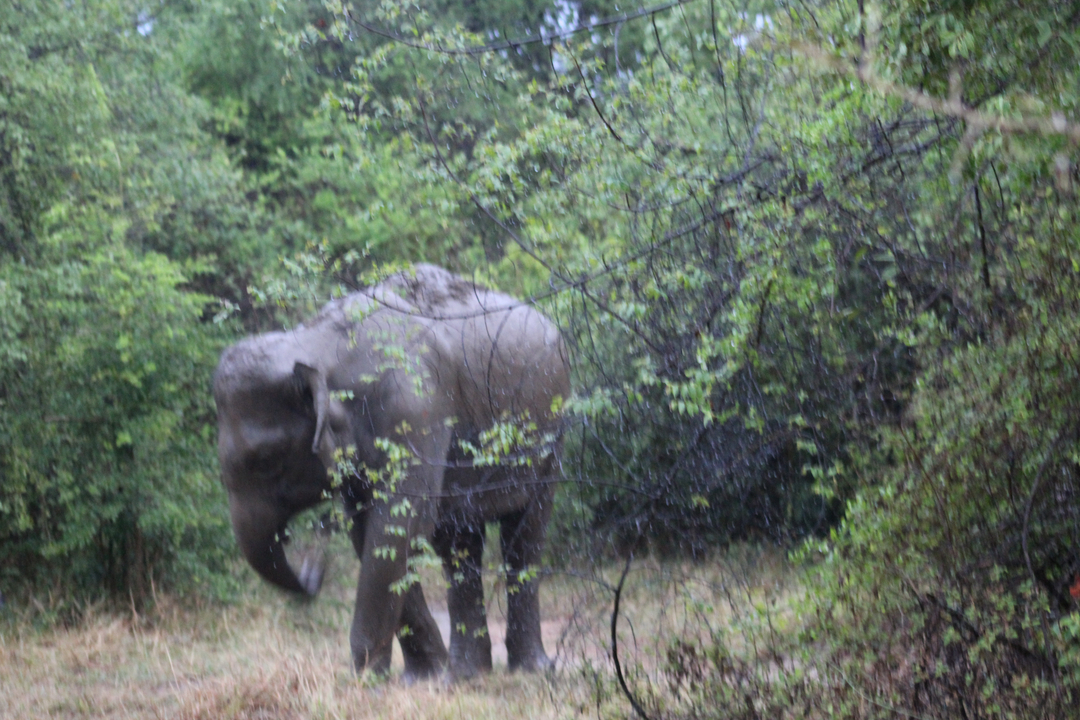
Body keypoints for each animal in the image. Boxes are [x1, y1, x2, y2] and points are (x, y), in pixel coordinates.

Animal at [213, 265, 570, 680]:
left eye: (266, 460)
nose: (313, 566)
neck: (315, 341)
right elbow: (369, 529)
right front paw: (423, 678)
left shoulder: (415, 407)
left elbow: (398, 522)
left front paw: (366, 679)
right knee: (459, 542)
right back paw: (467, 674)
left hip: (553, 431)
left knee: (524, 535)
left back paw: (531, 670)